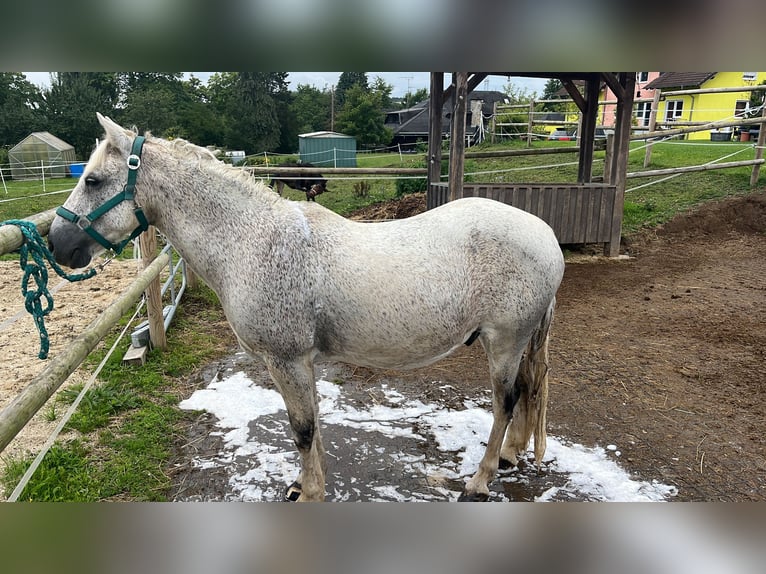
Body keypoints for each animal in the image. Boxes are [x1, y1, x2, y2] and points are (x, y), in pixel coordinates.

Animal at [48, 113, 565, 501]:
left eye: (93, 180)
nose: (56, 245)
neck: (252, 241)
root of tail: (546, 235)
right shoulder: (301, 363)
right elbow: (311, 424)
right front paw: (303, 484)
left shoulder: (286, 360)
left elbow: (301, 429)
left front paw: (310, 493)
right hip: (516, 342)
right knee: (525, 391)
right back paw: (511, 456)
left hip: (504, 341)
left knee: (504, 403)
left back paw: (480, 481)